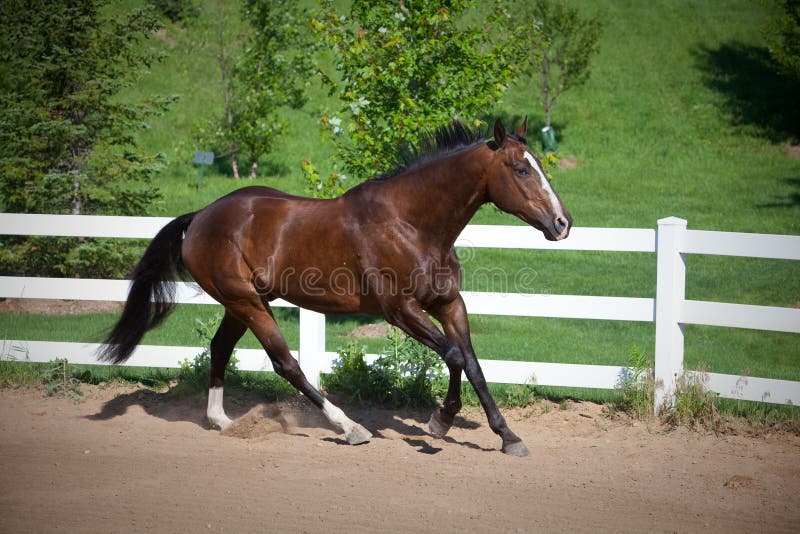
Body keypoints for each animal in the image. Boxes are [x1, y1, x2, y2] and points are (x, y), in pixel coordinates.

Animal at [100, 119, 572, 458]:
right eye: (521, 169)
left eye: (540, 165)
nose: (562, 224)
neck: (411, 224)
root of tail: (199, 217)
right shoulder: (400, 310)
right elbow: (454, 356)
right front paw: (439, 421)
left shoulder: (448, 303)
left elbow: (472, 363)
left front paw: (508, 437)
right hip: (247, 302)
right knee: (286, 364)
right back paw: (350, 428)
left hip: (244, 303)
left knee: (220, 347)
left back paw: (223, 422)